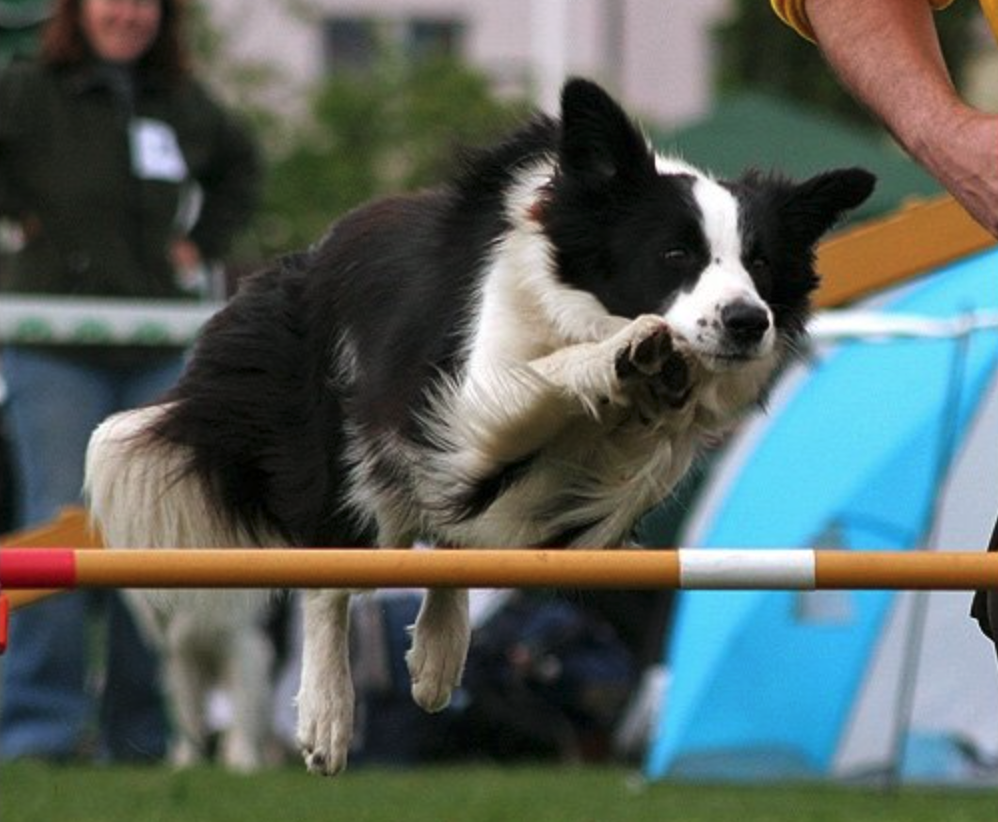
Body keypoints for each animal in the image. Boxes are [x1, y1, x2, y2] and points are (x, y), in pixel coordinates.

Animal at [85, 78, 874, 775]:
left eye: (761, 262)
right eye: (675, 252)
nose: (748, 322)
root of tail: (310, 257)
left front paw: (651, 382)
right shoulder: (468, 401)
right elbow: (550, 375)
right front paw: (625, 353)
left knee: (458, 541)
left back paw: (437, 660)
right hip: (344, 456)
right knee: (334, 571)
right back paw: (328, 718)